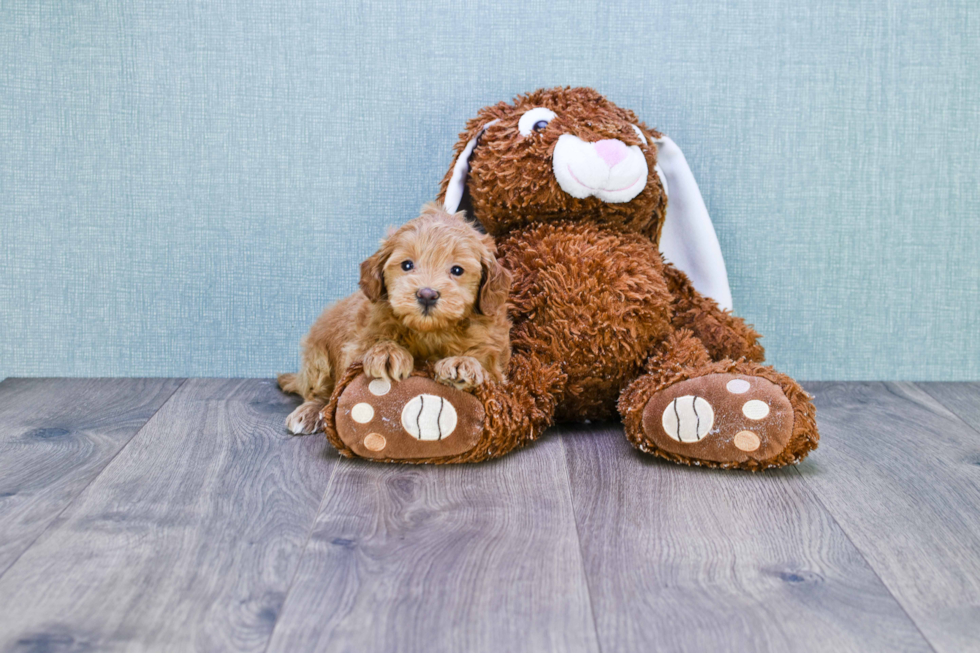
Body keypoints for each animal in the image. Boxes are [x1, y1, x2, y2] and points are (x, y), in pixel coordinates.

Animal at [276, 202, 512, 432]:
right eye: (407, 265)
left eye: (457, 270)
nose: (427, 294)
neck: (430, 332)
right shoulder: (356, 343)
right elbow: (370, 346)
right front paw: (387, 352)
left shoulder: (496, 367)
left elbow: (484, 364)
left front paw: (462, 362)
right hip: (318, 356)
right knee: (322, 392)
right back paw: (311, 411)